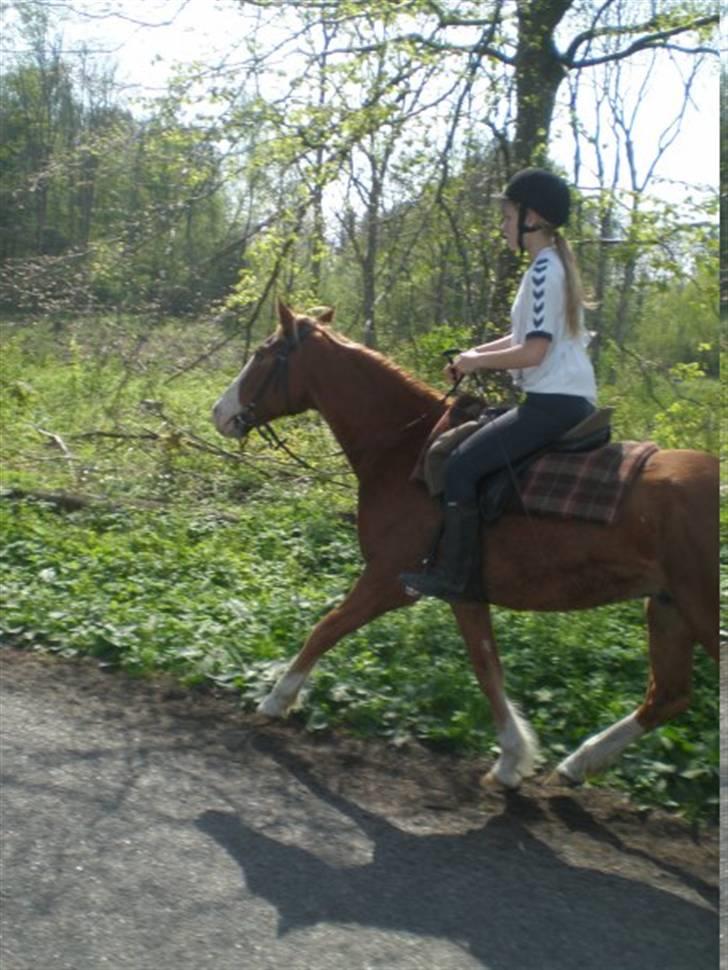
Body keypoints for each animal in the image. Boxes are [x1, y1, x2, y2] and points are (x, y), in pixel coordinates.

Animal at [210, 300, 716, 788]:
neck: (404, 447)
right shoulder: (465, 592)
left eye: (264, 353)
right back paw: (578, 763)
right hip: (667, 608)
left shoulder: (389, 579)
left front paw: (276, 698)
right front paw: (512, 760)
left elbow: (326, 628)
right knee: (668, 696)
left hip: (697, 609)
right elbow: (487, 669)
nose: (219, 413)